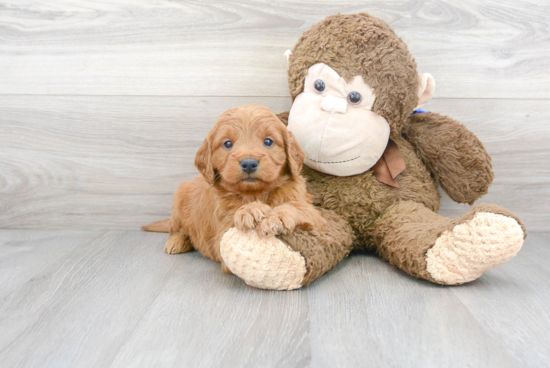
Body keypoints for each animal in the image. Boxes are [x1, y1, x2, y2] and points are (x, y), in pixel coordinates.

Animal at [143, 103, 328, 274]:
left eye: (268, 141)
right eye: (227, 144)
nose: (249, 163)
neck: (255, 193)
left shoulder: (314, 215)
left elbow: (301, 208)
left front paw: (278, 216)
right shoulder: (221, 234)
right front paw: (250, 210)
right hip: (180, 199)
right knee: (177, 229)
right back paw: (176, 242)